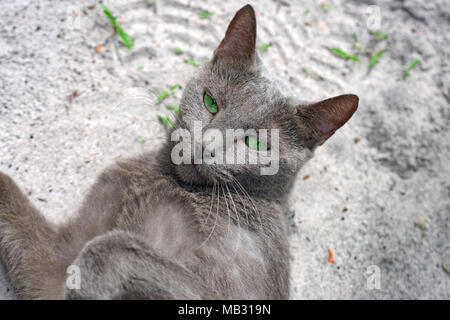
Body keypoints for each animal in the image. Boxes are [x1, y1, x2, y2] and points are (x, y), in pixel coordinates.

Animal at [0, 4, 358, 300]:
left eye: (256, 143)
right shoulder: (56, 260)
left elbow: (111, 247)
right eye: (210, 102)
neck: (169, 181)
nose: (204, 145)